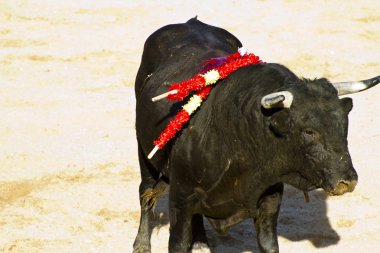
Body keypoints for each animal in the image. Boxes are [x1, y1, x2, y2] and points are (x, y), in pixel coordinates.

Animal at [132, 16, 378, 252]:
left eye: (344, 124)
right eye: (309, 131)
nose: (347, 181)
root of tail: (189, 23)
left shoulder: (270, 198)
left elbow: (268, 243)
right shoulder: (180, 199)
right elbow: (178, 243)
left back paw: (201, 244)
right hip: (145, 155)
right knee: (146, 192)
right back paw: (141, 244)